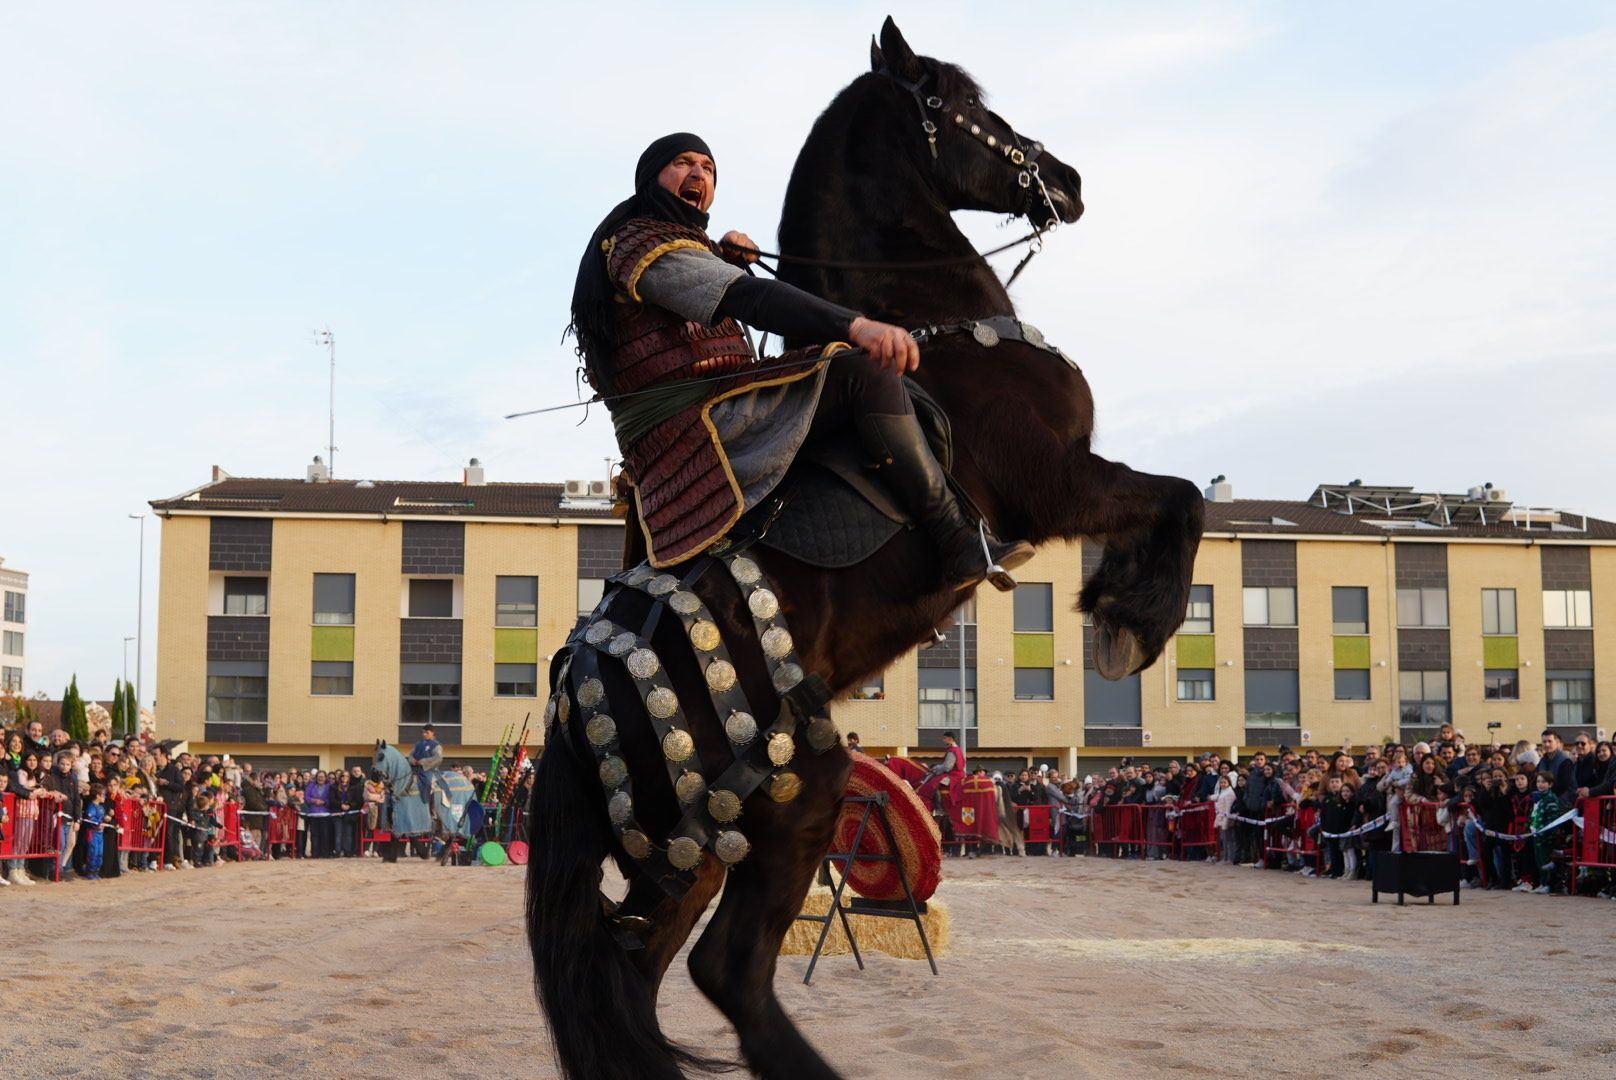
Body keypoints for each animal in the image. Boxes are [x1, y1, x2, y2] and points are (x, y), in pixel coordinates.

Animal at [530, 16, 1202, 1080]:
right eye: (958, 102)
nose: (1065, 178)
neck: (943, 325)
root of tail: (573, 699)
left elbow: (1171, 505)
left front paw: (1122, 611)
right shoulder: (1057, 479)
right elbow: (1180, 501)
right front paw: (1131, 623)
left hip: (687, 847)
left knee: (633, 976)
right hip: (798, 791)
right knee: (726, 970)